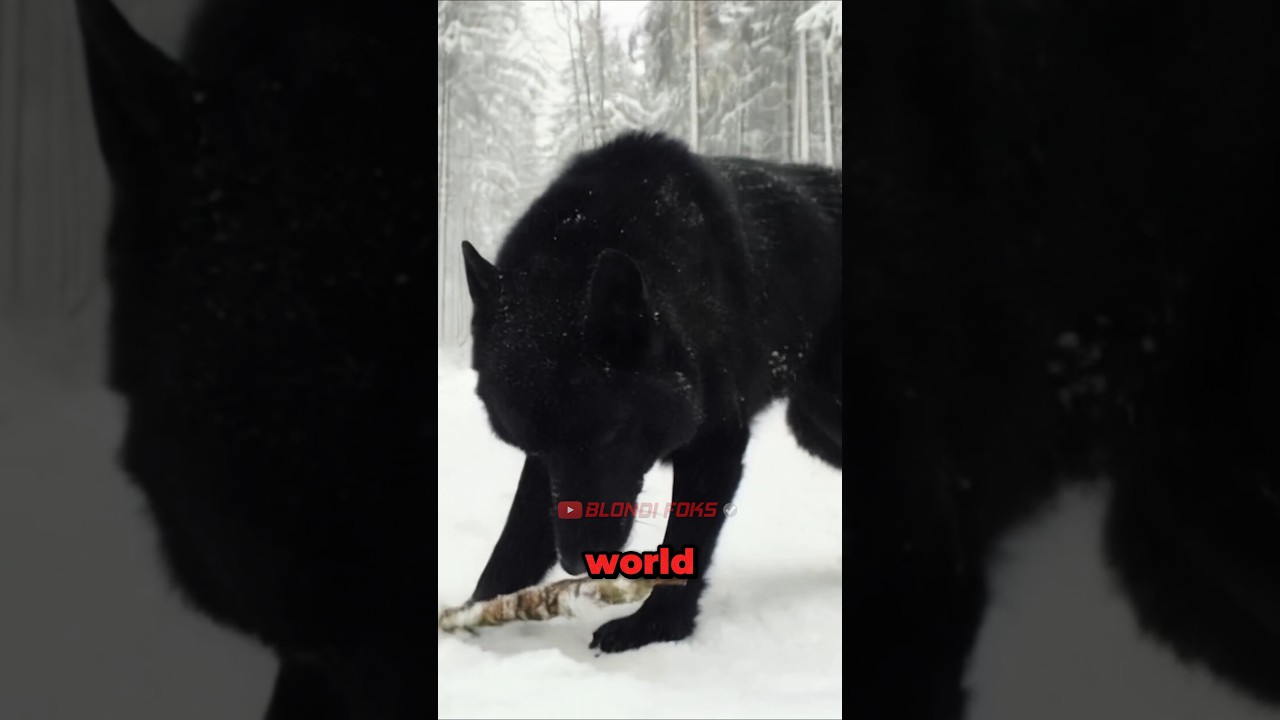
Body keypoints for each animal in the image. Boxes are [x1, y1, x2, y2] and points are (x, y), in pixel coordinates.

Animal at [461, 132, 843, 653]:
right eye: (532, 446)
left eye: (608, 436)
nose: (577, 562)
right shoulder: (546, 469)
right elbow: (514, 542)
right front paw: (470, 618)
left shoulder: (716, 442)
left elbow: (686, 541)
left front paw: (657, 626)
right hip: (816, 426)